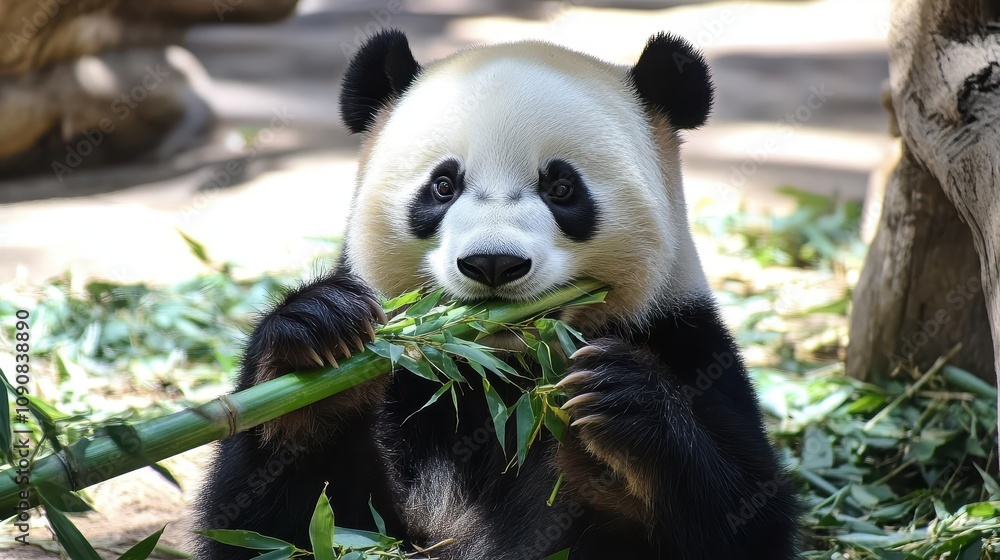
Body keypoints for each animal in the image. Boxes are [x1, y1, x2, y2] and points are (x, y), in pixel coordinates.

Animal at [195, 29, 799, 560]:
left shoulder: (686, 342)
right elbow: (277, 525)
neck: (500, 372)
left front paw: (620, 404)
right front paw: (319, 332)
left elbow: (746, 520)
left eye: (561, 187)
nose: (493, 262)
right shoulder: (410, 392)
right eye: (443, 186)